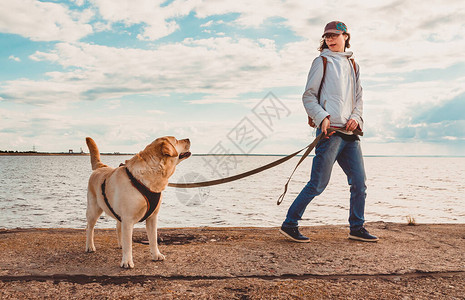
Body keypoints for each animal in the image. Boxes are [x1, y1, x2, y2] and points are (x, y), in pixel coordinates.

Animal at [85, 136, 190, 268]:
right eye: (176, 140)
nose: (188, 139)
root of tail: (101, 167)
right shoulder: (128, 219)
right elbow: (128, 243)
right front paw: (127, 261)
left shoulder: (152, 217)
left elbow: (153, 239)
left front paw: (156, 255)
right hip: (93, 209)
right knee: (89, 228)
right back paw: (90, 246)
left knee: (117, 226)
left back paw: (120, 244)